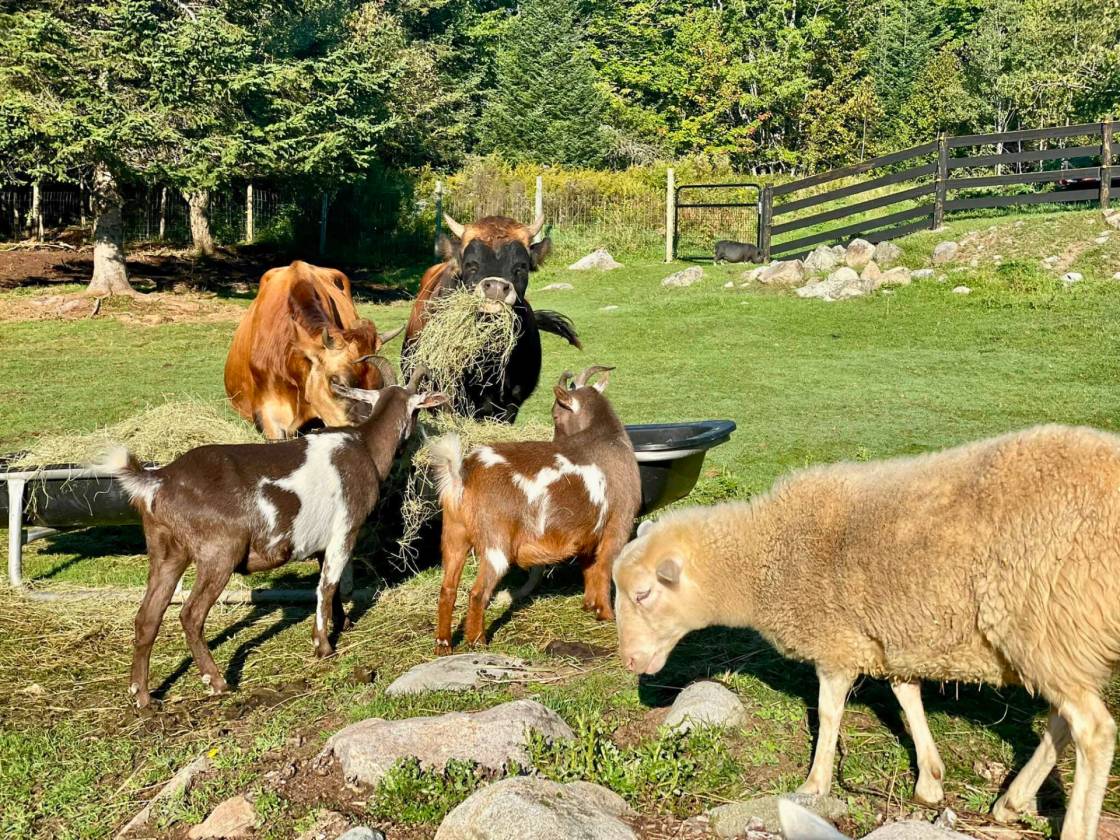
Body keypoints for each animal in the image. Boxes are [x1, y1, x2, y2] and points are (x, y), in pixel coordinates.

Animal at [99, 368, 446, 708]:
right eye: (417, 411)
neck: (364, 447)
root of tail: (159, 480)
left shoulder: (321, 541)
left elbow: (330, 587)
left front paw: (342, 623)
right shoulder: (344, 530)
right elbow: (326, 586)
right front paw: (323, 647)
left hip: (165, 551)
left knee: (147, 617)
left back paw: (142, 696)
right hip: (218, 553)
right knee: (190, 615)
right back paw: (217, 682)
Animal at [429, 365, 641, 652]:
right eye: (555, 414)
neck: (607, 439)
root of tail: (462, 475)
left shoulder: (587, 535)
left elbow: (589, 569)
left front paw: (589, 606)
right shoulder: (618, 524)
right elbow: (605, 569)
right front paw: (606, 614)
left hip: (454, 535)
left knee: (447, 589)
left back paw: (444, 644)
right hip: (496, 543)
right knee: (477, 592)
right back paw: (478, 641)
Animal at [612, 424, 1120, 840]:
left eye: (642, 594)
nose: (630, 661)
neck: (766, 560)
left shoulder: (836, 642)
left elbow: (828, 712)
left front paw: (814, 784)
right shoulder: (889, 634)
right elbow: (906, 695)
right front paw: (930, 780)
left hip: (1045, 625)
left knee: (1093, 730)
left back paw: (1070, 826)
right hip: (1060, 639)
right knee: (1063, 720)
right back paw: (1011, 802)